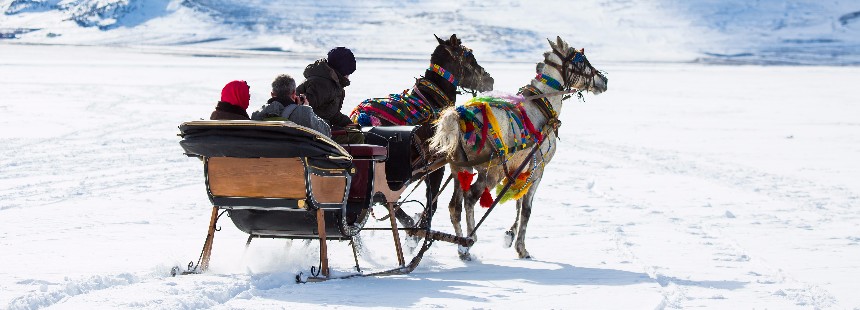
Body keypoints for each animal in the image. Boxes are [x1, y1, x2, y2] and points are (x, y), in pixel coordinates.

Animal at [428, 36, 604, 260]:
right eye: (582, 61)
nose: (604, 81)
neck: (542, 106)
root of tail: (459, 116)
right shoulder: (538, 169)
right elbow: (527, 209)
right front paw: (521, 247)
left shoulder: (518, 169)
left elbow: (518, 203)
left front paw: (510, 235)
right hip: (490, 171)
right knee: (470, 199)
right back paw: (470, 238)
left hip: (460, 169)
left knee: (454, 207)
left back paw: (462, 249)